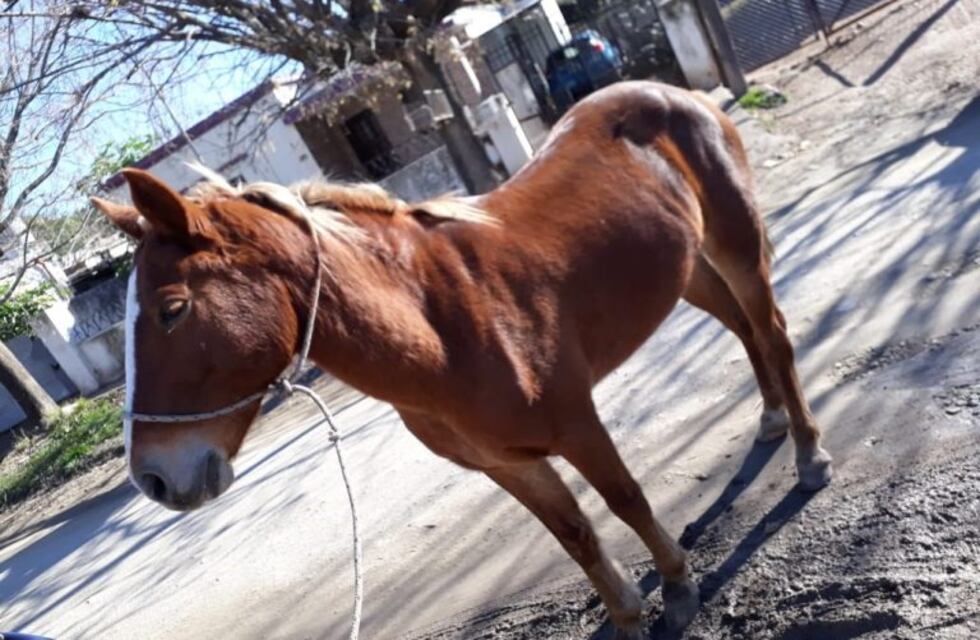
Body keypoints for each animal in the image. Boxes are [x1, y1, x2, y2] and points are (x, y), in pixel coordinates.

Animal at [92, 80, 832, 638]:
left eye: (172, 309)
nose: (153, 479)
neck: (438, 332)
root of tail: (672, 91)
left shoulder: (577, 425)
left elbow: (624, 499)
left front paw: (677, 587)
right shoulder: (502, 463)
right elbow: (574, 533)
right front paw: (626, 614)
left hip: (736, 246)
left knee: (771, 334)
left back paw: (808, 454)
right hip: (686, 267)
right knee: (743, 331)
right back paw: (770, 420)